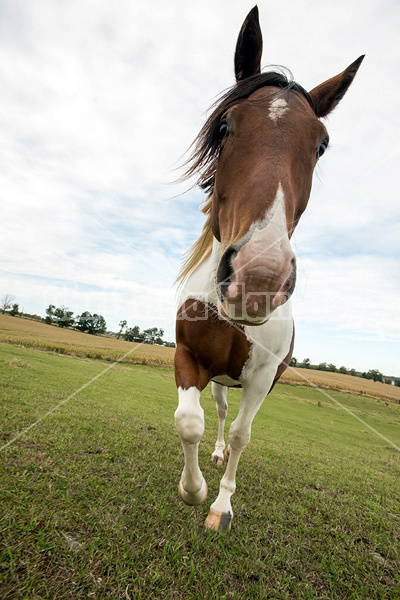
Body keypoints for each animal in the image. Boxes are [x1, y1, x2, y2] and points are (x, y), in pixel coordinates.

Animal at [174, 5, 362, 528]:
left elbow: (244, 436)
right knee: (218, 414)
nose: (258, 276)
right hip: (220, 380)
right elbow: (190, 421)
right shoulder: (188, 357)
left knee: (234, 426)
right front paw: (193, 489)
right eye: (224, 127)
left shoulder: (260, 380)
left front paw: (220, 506)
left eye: (321, 145)